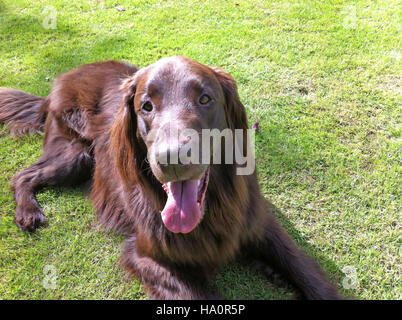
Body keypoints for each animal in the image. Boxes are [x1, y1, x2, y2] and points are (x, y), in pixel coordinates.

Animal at [0, 57, 340, 300]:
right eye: (146, 106)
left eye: (205, 99)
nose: (172, 159)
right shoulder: (147, 254)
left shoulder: (258, 222)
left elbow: (305, 269)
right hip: (78, 155)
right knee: (23, 175)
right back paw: (28, 212)